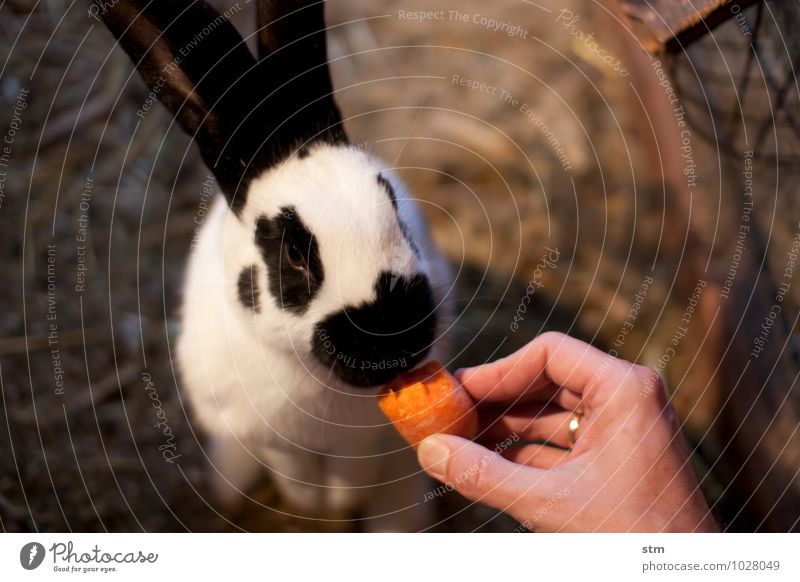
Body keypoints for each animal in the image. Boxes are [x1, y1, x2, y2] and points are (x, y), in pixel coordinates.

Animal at [94, 0, 454, 532]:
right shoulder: (268, 437)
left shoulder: (368, 441)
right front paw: (318, 506)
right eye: (294, 253)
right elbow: (295, 473)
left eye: (392, 203)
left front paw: (340, 504)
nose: (397, 337)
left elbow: (357, 472)